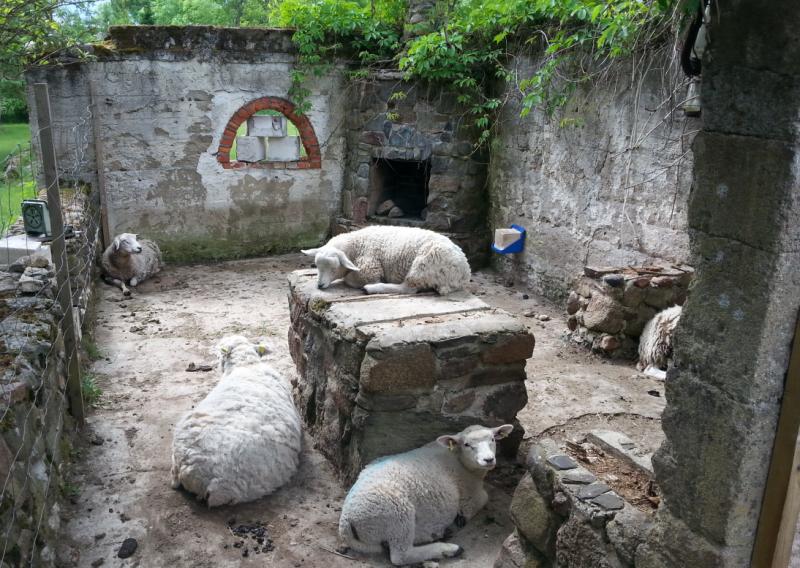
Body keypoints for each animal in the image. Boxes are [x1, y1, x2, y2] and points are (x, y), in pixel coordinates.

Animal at [304, 225, 472, 298]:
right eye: (317, 266)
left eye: (333, 268)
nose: (320, 285)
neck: (356, 245)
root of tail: (464, 274)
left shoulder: (369, 269)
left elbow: (349, 279)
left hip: (424, 263)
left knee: (408, 289)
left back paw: (371, 288)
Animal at [338, 422, 512, 564]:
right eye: (467, 444)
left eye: (493, 439)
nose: (488, 460)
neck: (459, 459)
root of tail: (346, 522)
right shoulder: (470, 495)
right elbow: (484, 498)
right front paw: (460, 519)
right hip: (398, 517)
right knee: (401, 556)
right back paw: (447, 549)